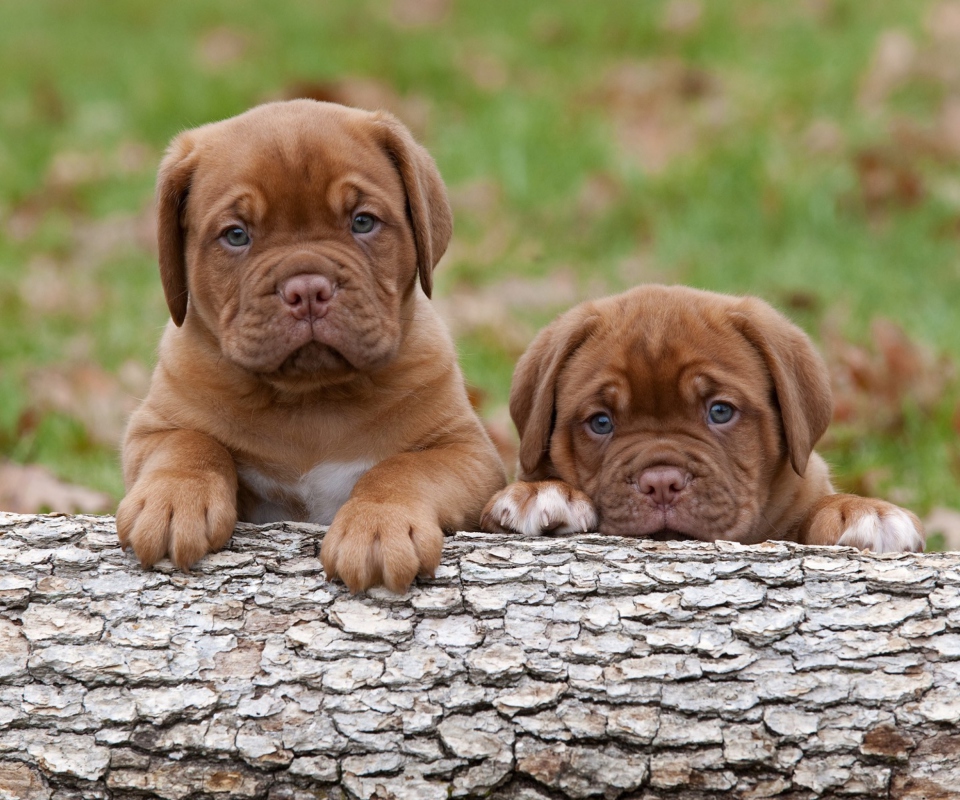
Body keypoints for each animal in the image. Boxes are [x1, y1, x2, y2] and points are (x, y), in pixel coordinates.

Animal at [117, 100, 506, 592]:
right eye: (236, 235)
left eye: (363, 222)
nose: (306, 290)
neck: (311, 397)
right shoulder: (152, 428)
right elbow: (189, 444)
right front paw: (172, 501)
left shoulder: (467, 452)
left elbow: (403, 469)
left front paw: (378, 526)